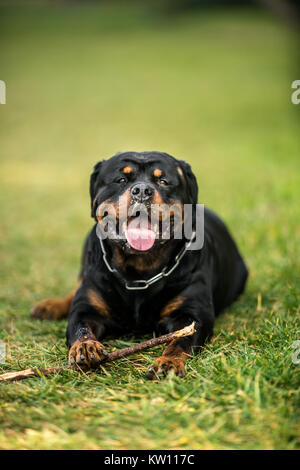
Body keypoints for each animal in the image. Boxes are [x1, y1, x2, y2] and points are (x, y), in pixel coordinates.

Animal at [29, 152, 248, 380]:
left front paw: (168, 361)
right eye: (121, 180)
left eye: (163, 181)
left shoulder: (192, 313)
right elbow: (80, 325)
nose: (142, 190)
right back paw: (50, 306)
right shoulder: (86, 308)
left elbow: (181, 339)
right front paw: (86, 346)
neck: (139, 271)